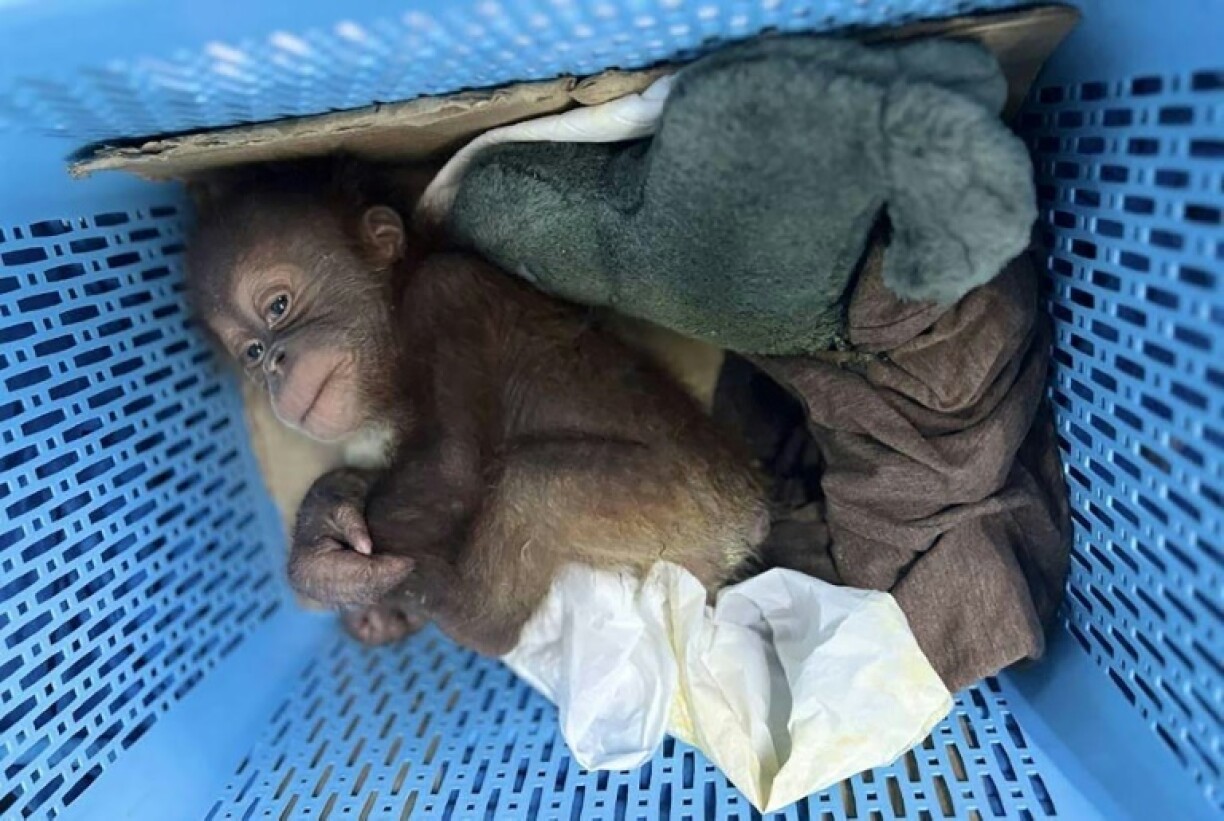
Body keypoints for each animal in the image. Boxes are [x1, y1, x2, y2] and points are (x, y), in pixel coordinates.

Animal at [185, 159, 769, 656]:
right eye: (251, 353)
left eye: (279, 306)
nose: (274, 367)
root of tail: (752, 518)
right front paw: (339, 513)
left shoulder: (445, 292)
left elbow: (451, 467)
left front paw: (317, 551)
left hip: (690, 505)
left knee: (530, 485)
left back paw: (452, 606)